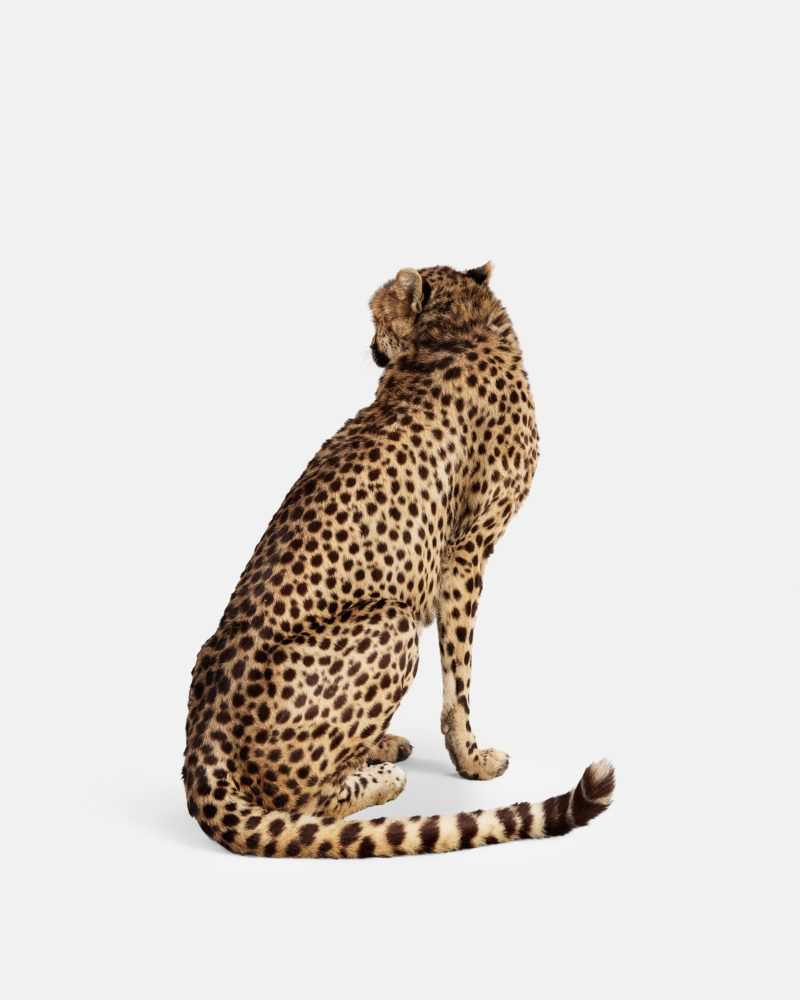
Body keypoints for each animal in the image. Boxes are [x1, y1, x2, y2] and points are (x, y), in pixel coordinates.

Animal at [182, 262, 614, 857]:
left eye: (375, 317)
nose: (369, 346)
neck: (458, 329)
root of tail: (205, 736)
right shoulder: (465, 553)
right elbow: (459, 679)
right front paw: (472, 760)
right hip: (393, 622)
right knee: (302, 803)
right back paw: (381, 779)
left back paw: (376, 746)